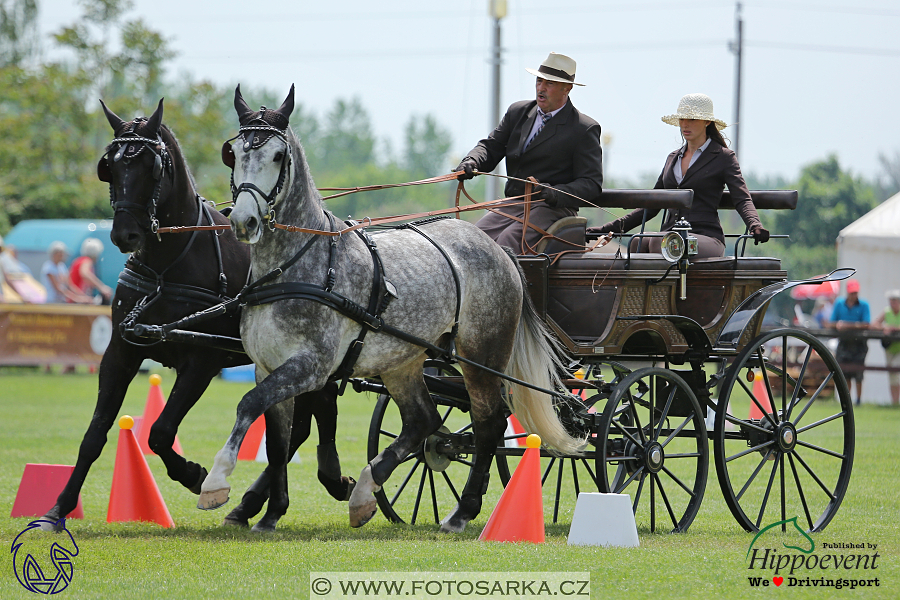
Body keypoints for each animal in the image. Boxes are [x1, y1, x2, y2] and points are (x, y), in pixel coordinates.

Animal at [42, 99, 354, 536]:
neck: (166, 266)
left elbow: (159, 432)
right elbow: (95, 433)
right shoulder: (121, 350)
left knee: (309, 419)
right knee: (303, 423)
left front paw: (194, 474)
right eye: (110, 166)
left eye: (153, 166)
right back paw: (260, 503)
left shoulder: (202, 361)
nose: (124, 234)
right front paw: (59, 508)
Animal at [199, 84, 584, 528]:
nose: (242, 221)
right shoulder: (268, 366)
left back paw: (461, 511)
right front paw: (269, 512)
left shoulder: (310, 367)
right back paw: (367, 491)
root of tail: (499, 251)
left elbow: (248, 404)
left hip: (481, 356)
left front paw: (216, 483)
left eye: (278, 156)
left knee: (488, 422)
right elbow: (277, 442)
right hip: (404, 361)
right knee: (423, 421)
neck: (294, 267)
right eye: (234, 153)